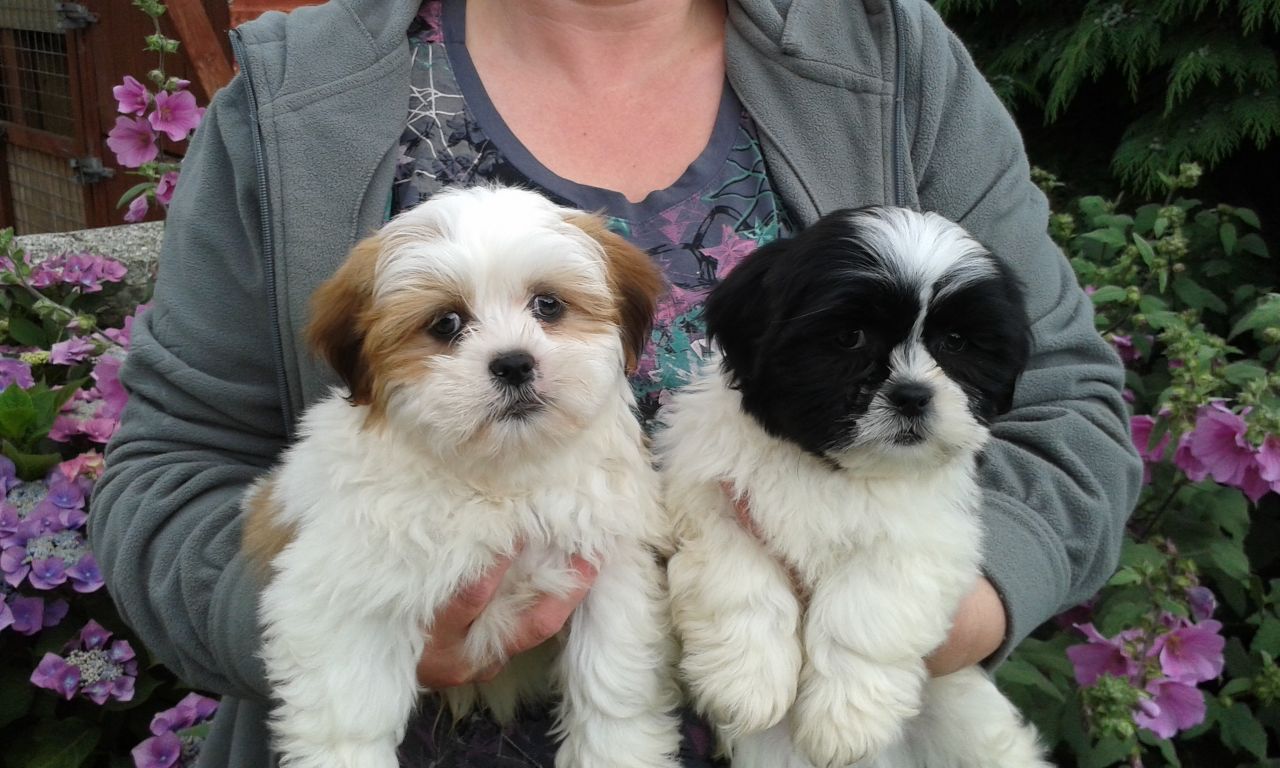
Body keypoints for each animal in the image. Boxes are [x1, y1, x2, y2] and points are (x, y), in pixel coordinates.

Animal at [241, 184, 680, 768]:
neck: (498, 479)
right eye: (445, 323)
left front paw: (615, 751)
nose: (514, 363)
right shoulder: (341, 591)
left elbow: (613, 686)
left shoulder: (607, 567)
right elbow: (347, 716)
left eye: (548, 304)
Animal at [660, 207, 1049, 762]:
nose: (912, 395)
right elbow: (739, 582)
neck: (827, 468)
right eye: (850, 337)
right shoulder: (710, 497)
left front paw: (843, 721)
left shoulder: (920, 535)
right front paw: (745, 682)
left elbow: (863, 609)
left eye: (955, 342)